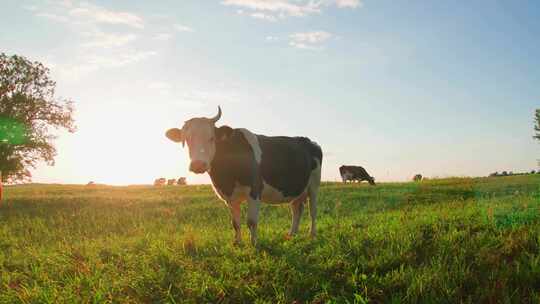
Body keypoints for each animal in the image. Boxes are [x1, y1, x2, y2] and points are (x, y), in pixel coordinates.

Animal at [167, 107, 322, 245]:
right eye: (187, 139)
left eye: (212, 138)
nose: (198, 165)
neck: (226, 178)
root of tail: (307, 140)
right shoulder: (229, 197)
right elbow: (235, 222)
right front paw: (237, 242)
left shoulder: (255, 190)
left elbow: (251, 221)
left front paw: (254, 244)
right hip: (297, 188)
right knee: (297, 209)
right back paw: (291, 234)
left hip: (314, 185)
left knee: (312, 211)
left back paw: (312, 234)